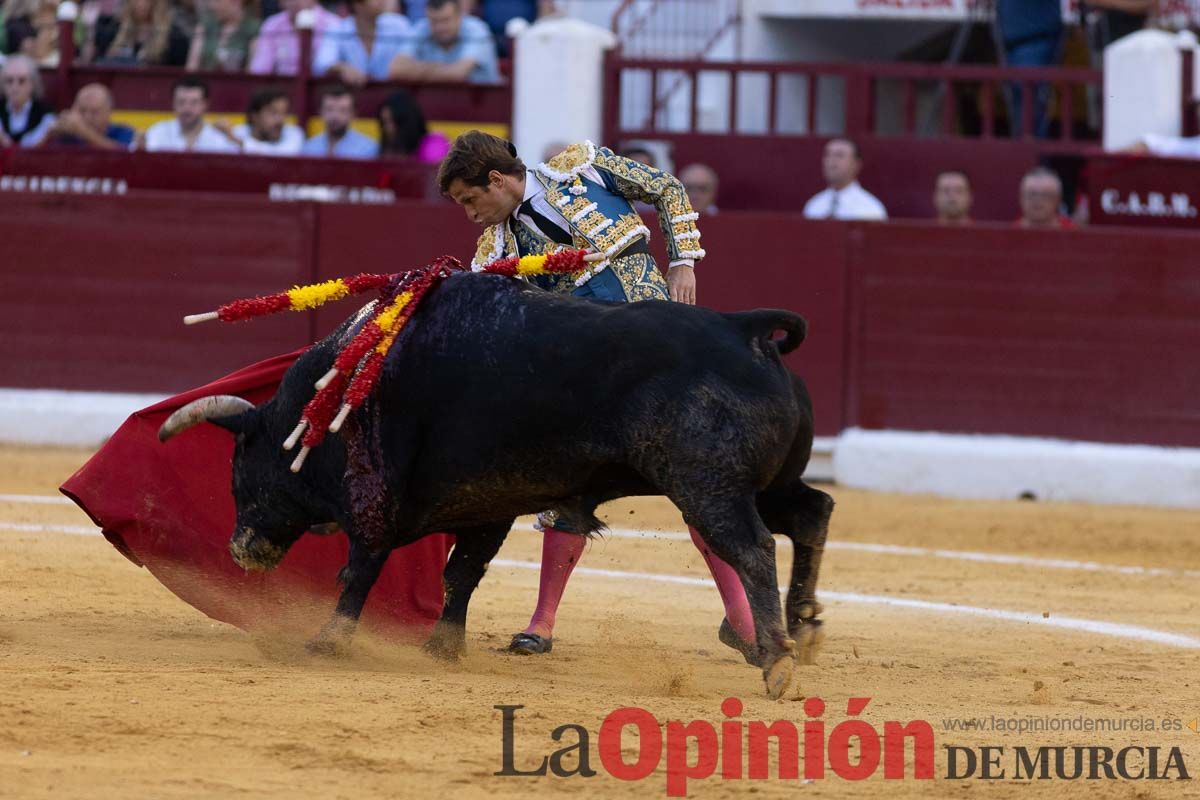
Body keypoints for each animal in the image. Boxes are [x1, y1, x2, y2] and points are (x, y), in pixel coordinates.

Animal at [159, 272, 835, 695]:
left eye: (240, 467)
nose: (240, 549)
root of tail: (744, 328)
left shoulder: (378, 495)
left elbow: (363, 568)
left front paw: (329, 642)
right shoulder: (489, 500)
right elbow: (463, 572)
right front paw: (443, 648)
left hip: (709, 485)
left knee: (751, 547)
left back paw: (776, 661)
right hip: (767, 483)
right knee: (812, 511)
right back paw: (802, 625)